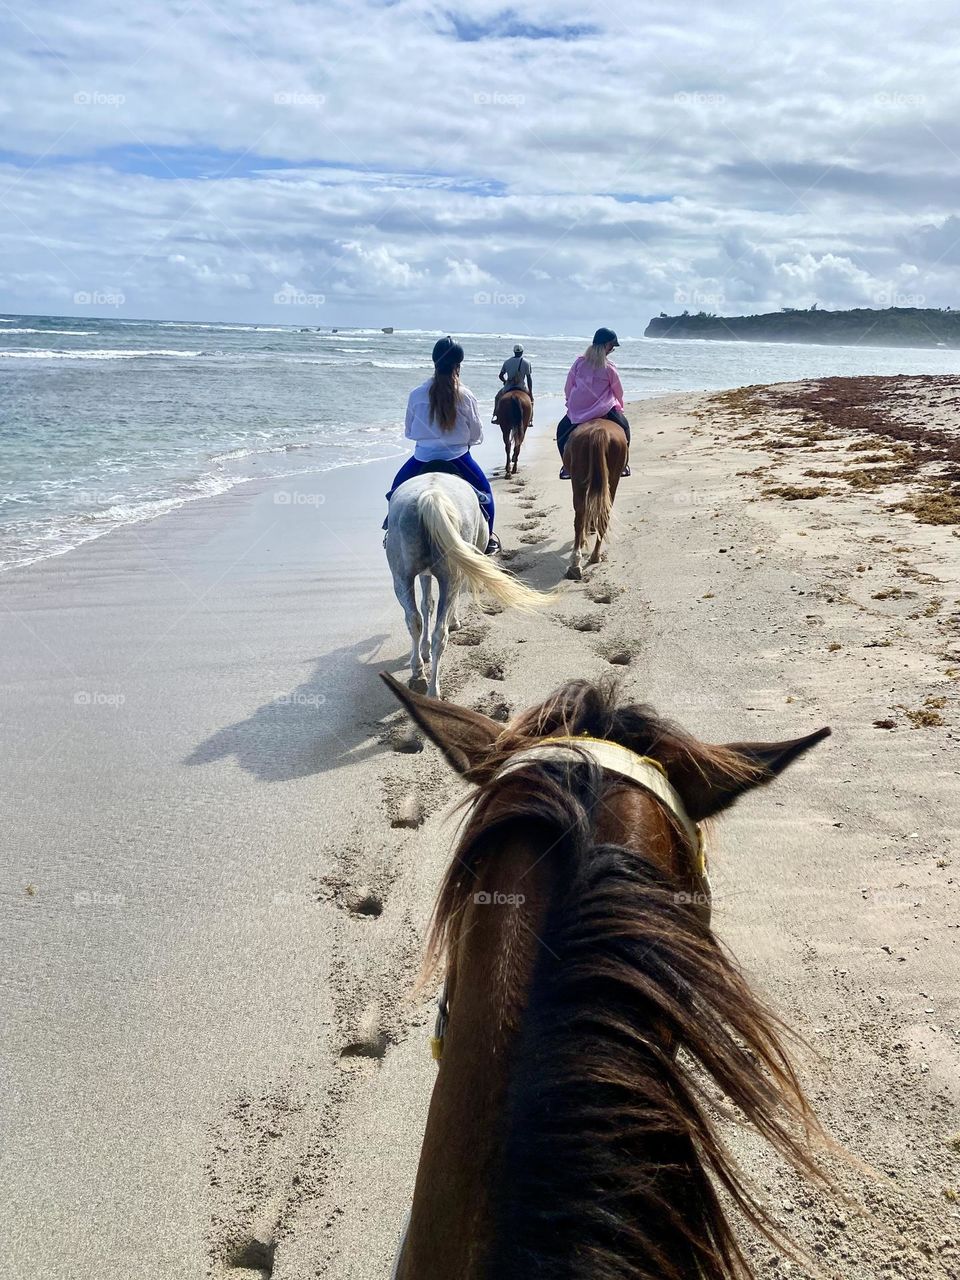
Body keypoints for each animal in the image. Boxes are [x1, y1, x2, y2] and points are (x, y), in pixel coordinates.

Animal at [385, 473, 544, 698]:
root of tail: (430, 496)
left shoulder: (424, 574)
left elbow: (427, 604)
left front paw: (424, 650)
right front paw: (454, 622)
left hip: (401, 576)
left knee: (414, 621)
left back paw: (418, 676)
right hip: (450, 576)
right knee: (441, 633)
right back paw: (433, 691)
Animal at [563, 417, 628, 580]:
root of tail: (599, 431)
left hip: (579, 480)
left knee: (580, 516)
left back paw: (576, 564)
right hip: (612, 479)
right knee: (603, 514)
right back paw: (594, 556)